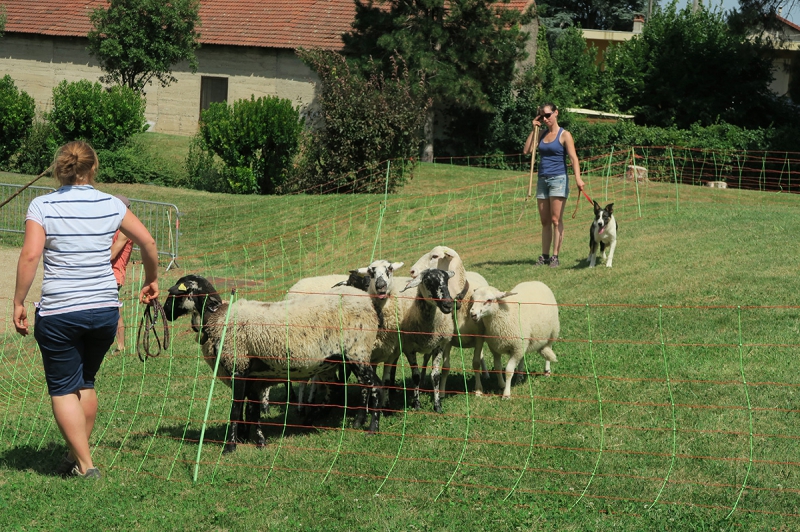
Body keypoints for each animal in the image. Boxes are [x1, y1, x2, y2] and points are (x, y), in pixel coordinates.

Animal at [162, 274, 384, 454]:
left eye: (175, 294)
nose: (165, 312)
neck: (218, 318)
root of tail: (367, 302)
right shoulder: (253, 377)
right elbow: (252, 411)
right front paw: (257, 441)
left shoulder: (239, 366)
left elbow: (236, 409)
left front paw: (230, 447)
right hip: (340, 359)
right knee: (346, 389)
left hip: (357, 352)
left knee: (374, 386)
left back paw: (372, 428)